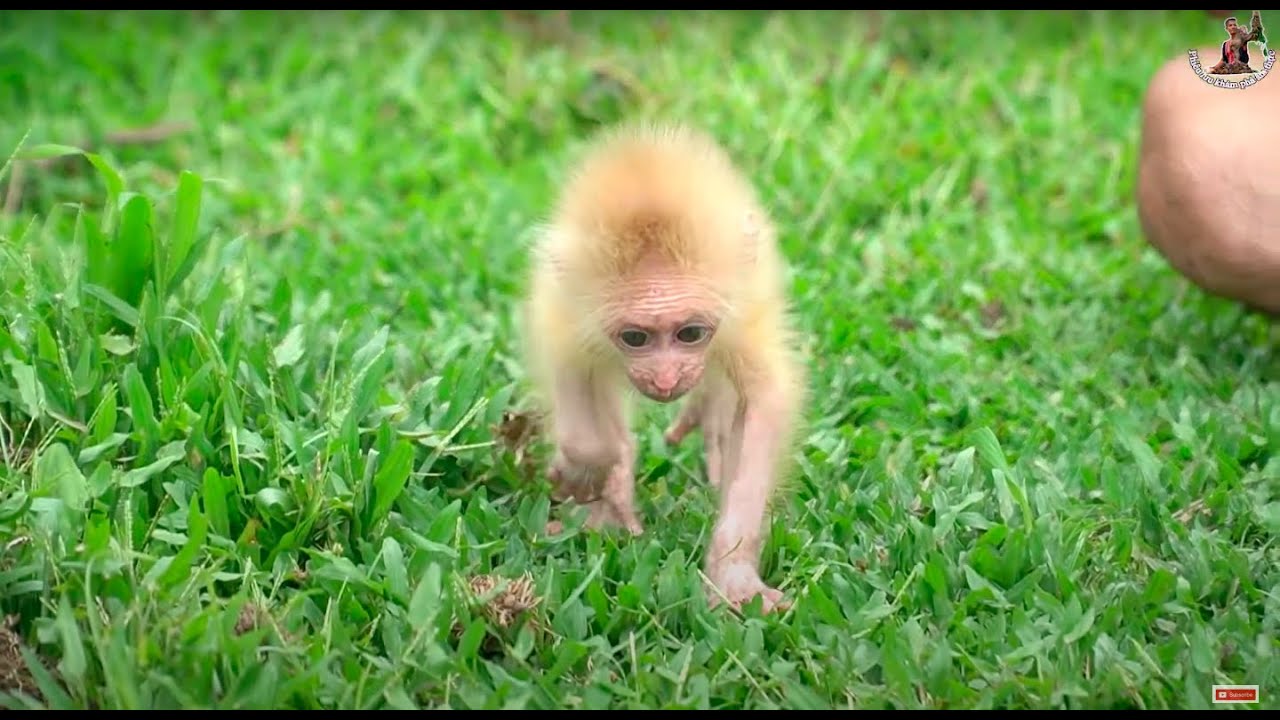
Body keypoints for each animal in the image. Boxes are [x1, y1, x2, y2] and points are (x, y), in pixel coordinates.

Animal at [521, 122, 805, 614]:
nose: (666, 378)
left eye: (689, 333)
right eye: (636, 338)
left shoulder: (740, 313)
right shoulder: (570, 310)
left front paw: (733, 573)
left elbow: (762, 401)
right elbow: (574, 381)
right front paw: (595, 471)